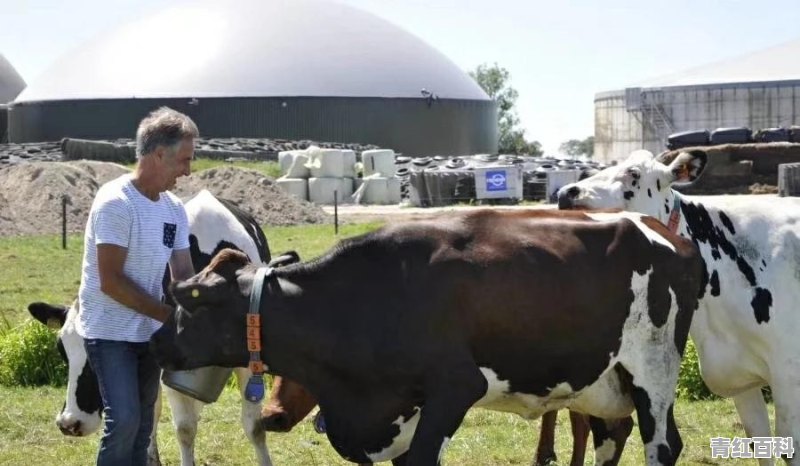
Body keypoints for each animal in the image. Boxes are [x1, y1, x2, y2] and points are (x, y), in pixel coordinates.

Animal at [153, 211, 704, 466]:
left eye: (190, 304)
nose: (156, 344)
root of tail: (662, 228)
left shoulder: (454, 389)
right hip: (605, 384)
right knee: (611, 438)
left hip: (653, 374)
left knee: (662, 444)